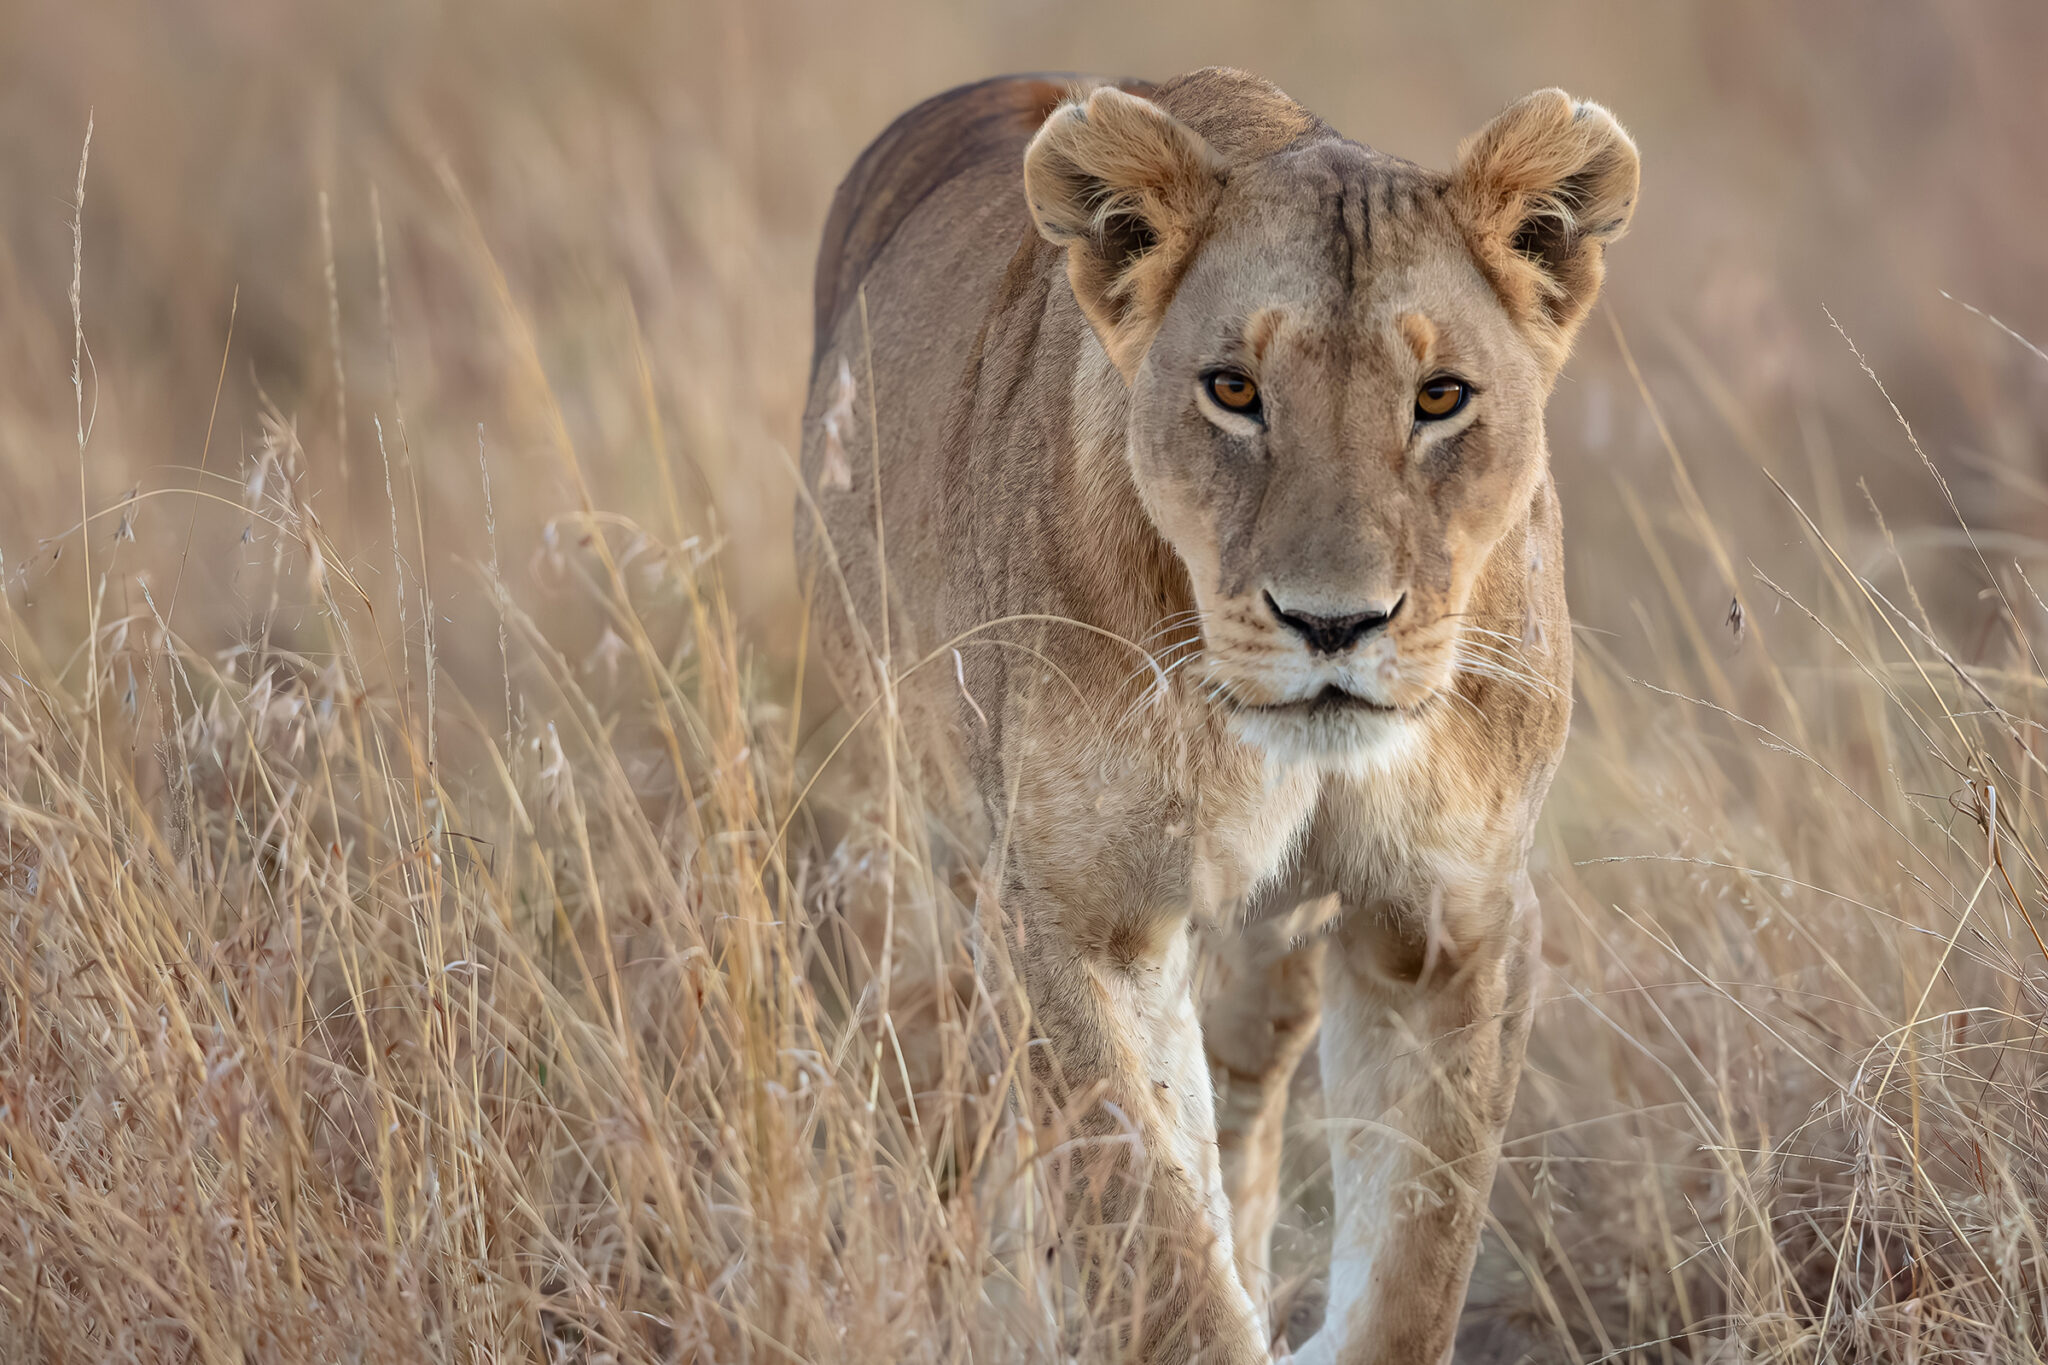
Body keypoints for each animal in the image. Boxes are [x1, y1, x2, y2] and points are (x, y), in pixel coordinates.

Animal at [797, 68, 1637, 1364]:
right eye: (1233, 392)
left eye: (1439, 398)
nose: (1334, 624)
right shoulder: (1076, 920)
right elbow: (1154, 1242)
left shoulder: (1450, 925)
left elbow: (1414, 1258)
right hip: (908, 867)